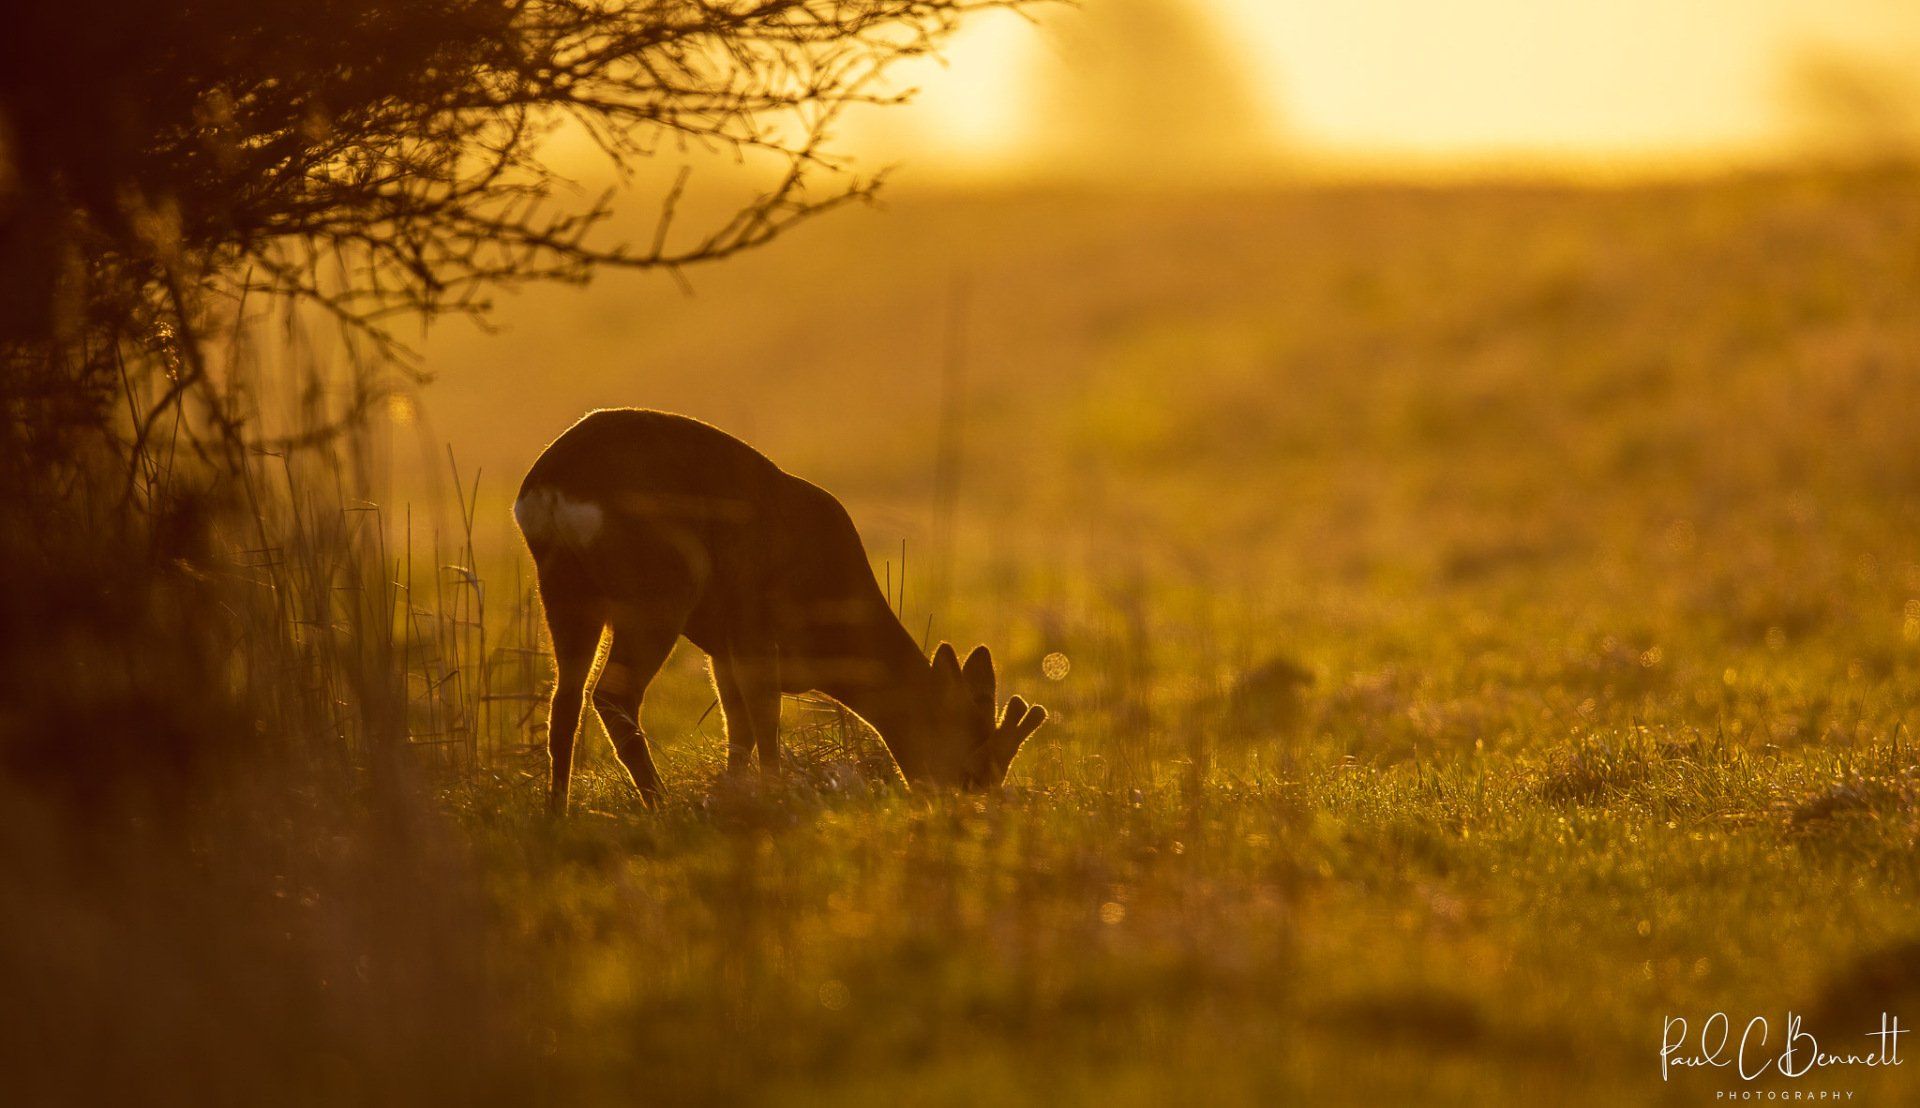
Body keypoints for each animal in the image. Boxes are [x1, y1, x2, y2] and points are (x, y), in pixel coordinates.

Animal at [514, 408, 1049, 814]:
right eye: (971, 763)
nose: (966, 802)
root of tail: (550, 486)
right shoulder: (754, 623)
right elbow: (764, 718)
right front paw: (772, 795)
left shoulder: (721, 646)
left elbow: (739, 727)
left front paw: (735, 792)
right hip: (659, 588)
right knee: (611, 695)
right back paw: (659, 804)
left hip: (565, 591)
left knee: (564, 699)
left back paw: (558, 811)